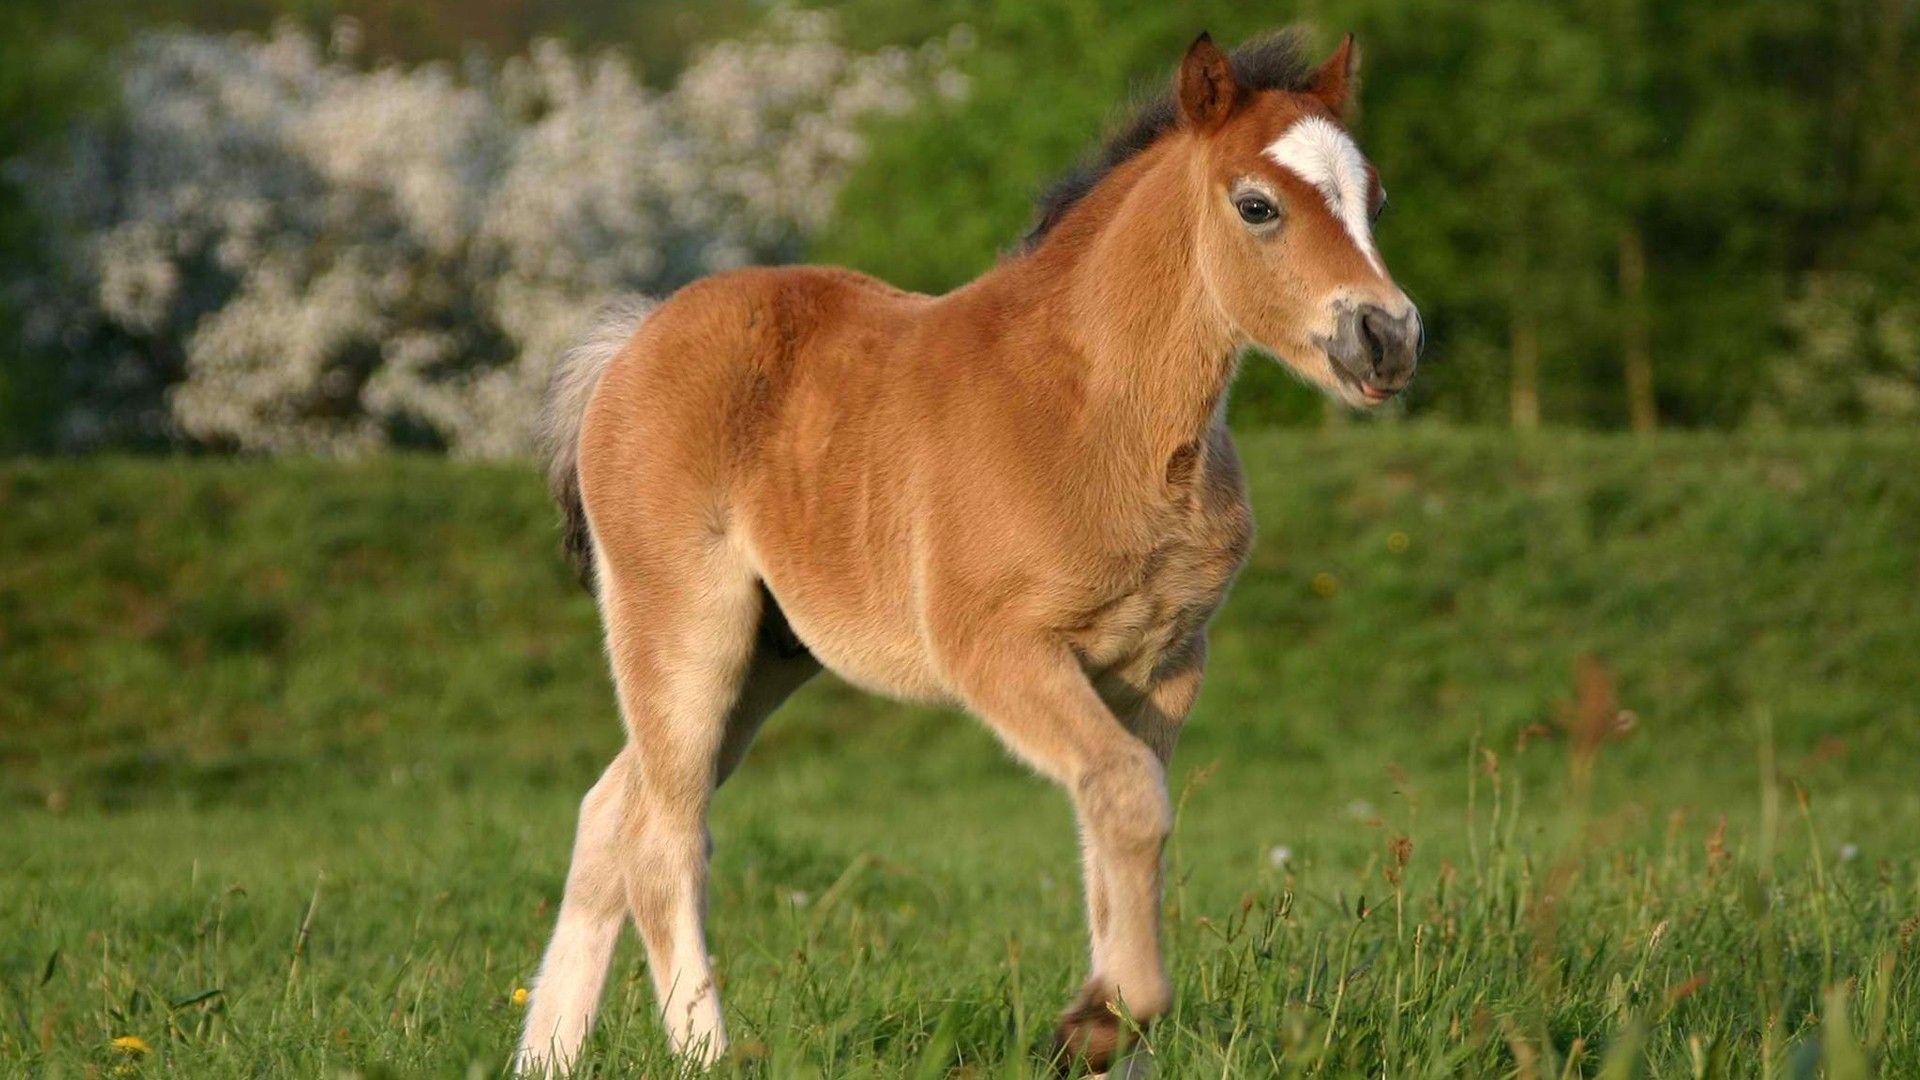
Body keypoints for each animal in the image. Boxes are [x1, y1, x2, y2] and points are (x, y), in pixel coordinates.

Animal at [518, 27, 1420, 1076]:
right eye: (1258, 205)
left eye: (1375, 199)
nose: (1387, 336)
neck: (1094, 411)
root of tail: (631, 342)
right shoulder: (999, 650)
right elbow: (1128, 798)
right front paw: (1101, 1020)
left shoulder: (1163, 665)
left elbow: (1122, 826)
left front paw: (1109, 1033)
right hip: (684, 625)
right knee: (666, 841)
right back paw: (707, 1052)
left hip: (768, 656)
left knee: (611, 813)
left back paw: (543, 1054)